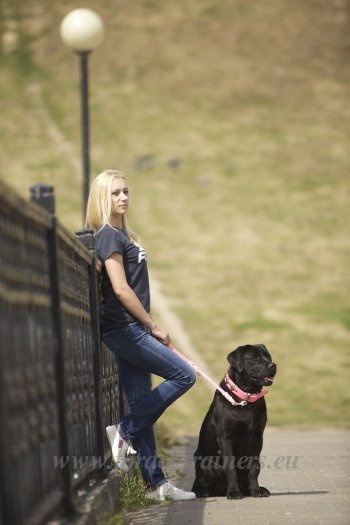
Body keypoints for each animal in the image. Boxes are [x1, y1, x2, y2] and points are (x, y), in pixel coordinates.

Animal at [191, 344, 276, 500]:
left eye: (268, 356)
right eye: (254, 357)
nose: (273, 365)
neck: (246, 399)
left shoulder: (257, 437)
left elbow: (254, 467)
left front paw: (256, 490)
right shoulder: (226, 437)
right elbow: (231, 468)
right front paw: (234, 492)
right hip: (204, 462)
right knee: (198, 482)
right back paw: (204, 492)